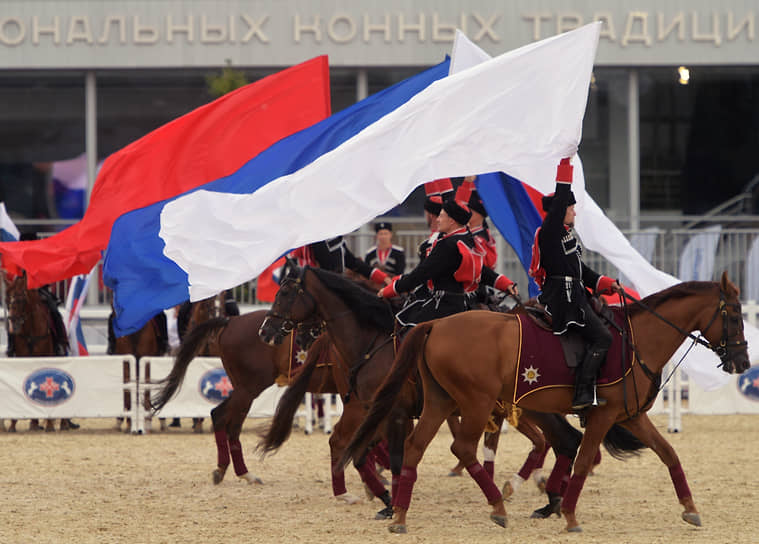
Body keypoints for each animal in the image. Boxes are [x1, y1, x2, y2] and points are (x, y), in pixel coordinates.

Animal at [342, 270, 752, 532]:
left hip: (442, 403)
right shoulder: (603, 416)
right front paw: (569, 515)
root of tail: (436, 325)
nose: (743, 362)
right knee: (464, 448)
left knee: (415, 447)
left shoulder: (631, 416)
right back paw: (498, 505)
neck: (636, 339)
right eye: (734, 314)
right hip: (474, 403)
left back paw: (400, 515)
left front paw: (690, 509)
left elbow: (669, 454)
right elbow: (583, 460)